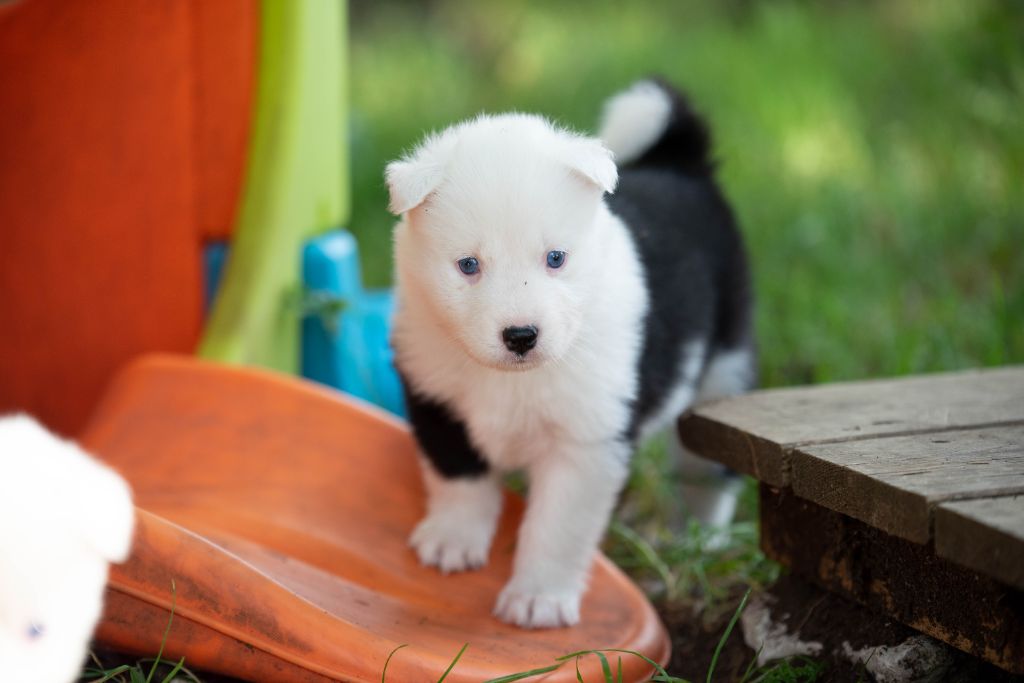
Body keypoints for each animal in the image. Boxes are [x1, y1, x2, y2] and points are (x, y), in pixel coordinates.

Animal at [386, 79, 754, 628]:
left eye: (555, 258)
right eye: (468, 265)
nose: (521, 335)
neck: (512, 378)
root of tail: (681, 163)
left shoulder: (585, 443)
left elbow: (557, 527)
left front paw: (538, 598)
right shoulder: (434, 393)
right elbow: (460, 475)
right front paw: (452, 541)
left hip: (723, 370)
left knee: (706, 471)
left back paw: (700, 538)